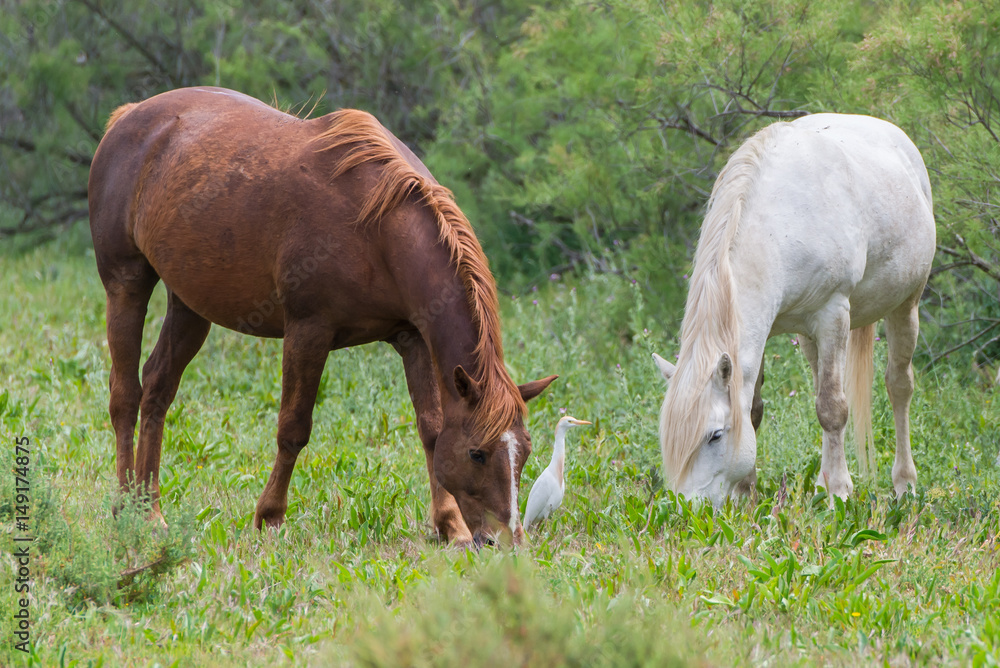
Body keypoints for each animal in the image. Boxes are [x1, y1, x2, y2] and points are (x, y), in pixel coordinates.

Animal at [88, 87, 556, 547]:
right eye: (478, 452)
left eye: (526, 451)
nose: (505, 540)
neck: (377, 228)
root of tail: (128, 117)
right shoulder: (308, 332)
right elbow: (293, 428)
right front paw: (270, 518)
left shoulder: (413, 338)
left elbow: (431, 428)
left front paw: (449, 525)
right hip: (126, 284)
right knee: (125, 395)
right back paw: (124, 510)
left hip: (189, 306)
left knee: (157, 390)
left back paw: (150, 513)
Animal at [652, 113, 935, 507]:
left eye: (715, 435)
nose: (686, 510)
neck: (779, 226)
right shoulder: (766, 330)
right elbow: (754, 409)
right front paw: (746, 494)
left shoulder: (833, 315)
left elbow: (832, 408)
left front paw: (838, 493)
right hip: (810, 339)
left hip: (905, 306)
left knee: (898, 387)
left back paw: (903, 484)